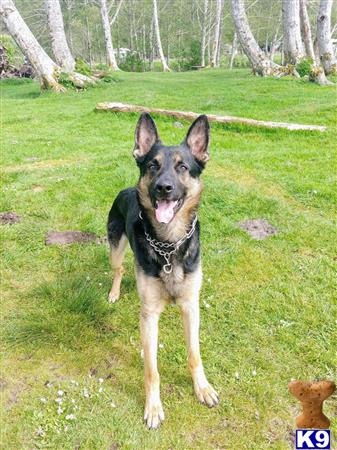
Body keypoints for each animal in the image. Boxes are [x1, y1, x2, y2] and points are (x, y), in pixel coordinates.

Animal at [106, 112, 219, 428]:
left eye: (183, 167)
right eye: (152, 165)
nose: (163, 187)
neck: (168, 243)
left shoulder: (191, 307)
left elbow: (194, 354)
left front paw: (202, 388)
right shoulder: (149, 316)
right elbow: (151, 369)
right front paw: (154, 407)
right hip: (115, 249)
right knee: (119, 270)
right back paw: (114, 292)